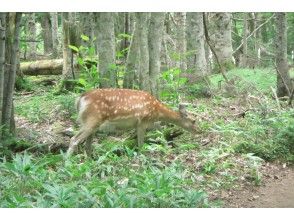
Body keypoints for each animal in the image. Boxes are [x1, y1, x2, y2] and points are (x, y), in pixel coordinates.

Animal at [67, 88, 198, 156]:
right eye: (193, 120)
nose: (198, 131)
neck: (156, 111)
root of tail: (79, 100)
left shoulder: (148, 122)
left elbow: (159, 129)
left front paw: (166, 145)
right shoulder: (142, 121)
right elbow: (140, 143)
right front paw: (142, 156)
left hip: (91, 123)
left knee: (87, 145)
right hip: (92, 120)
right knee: (74, 139)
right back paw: (67, 161)